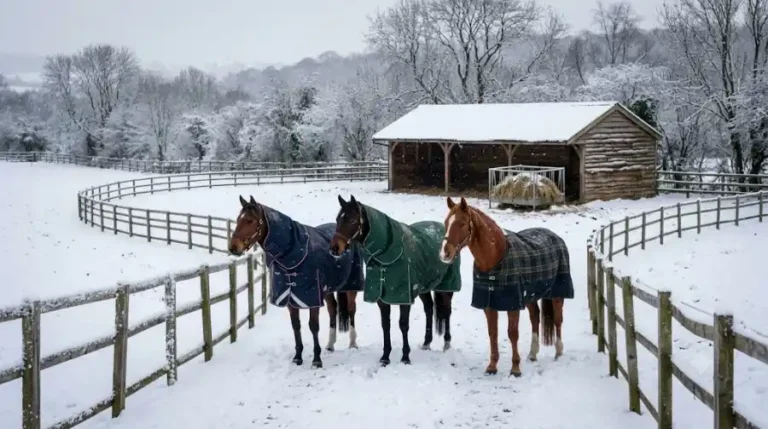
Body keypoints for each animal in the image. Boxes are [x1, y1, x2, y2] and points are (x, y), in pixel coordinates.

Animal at [228, 195, 365, 368]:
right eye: (238, 219)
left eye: (250, 221)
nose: (233, 247)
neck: (292, 257)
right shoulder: (291, 299)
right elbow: (296, 325)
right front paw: (298, 357)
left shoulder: (312, 299)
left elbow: (313, 326)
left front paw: (316, 360)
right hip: (327, 290)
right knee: (333, 310)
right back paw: (330, 344)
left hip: (351, 286)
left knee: (352, 310)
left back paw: (353, 343)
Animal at [329, 195, 462, 366]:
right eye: (338, 219)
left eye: (352, 220)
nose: (334, 248)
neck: (386, 256)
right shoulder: (382, 298)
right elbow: (386, 325)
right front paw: (385, 357)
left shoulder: (404, 297)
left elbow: (403, 325)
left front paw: (405, 357)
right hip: (423, 287)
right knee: (429, 309)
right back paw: (426, 343)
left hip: (446, 286)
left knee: (446, 311)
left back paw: (446, 344)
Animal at [439, 196, 574, 377]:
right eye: (446, 223)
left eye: (461, 223)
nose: (444, 253)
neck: (495, 260)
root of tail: (555, 237)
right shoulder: (489, 305)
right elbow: (493, 333)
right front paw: (492, 366)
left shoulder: (513, 304)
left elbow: (513, 333)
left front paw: (515, 369)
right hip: (530, 296)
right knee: (535, 317)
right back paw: (533, 353)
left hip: (558, 293)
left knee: (558, 320)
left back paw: (558, 352)